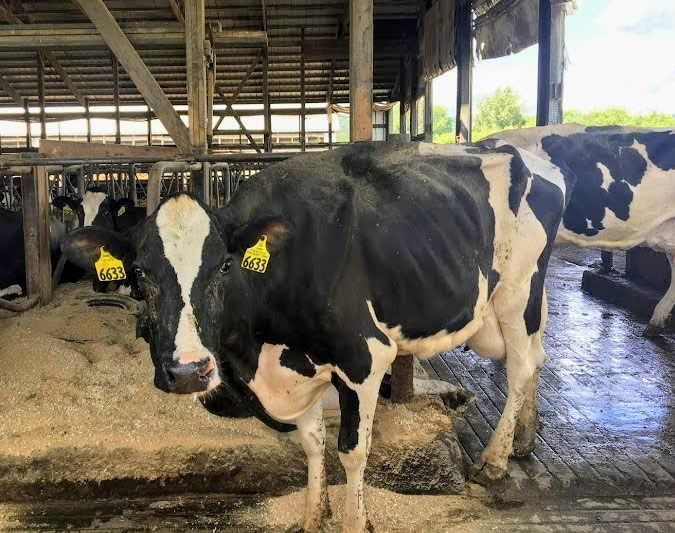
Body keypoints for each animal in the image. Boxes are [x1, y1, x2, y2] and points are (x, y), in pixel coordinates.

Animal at [60, 141, 569, 532]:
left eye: (224, 266)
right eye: (140, 274)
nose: (188, 371)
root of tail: (523, 154)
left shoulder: (365, 356)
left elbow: (352, 450)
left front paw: (353, 521)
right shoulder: (297, 369)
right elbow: (311, 443)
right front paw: (312, 515)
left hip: (517, 291)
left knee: (521, 365)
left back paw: (494, 459)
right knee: (538, 356)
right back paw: (523, 440)